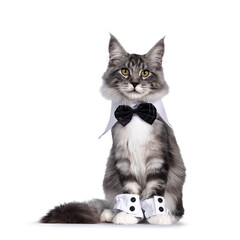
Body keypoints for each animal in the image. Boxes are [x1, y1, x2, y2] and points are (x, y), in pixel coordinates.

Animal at [41, 34, 186, 224]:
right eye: (125, 71)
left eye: (145, 73)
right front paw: (128, 215)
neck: (135, 111)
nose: (134, 83)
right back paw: (110, 213)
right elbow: (131, 192)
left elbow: (154, 190)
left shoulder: (158, 159)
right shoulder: (123, 159)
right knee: (112, 203)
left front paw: (157, 215)